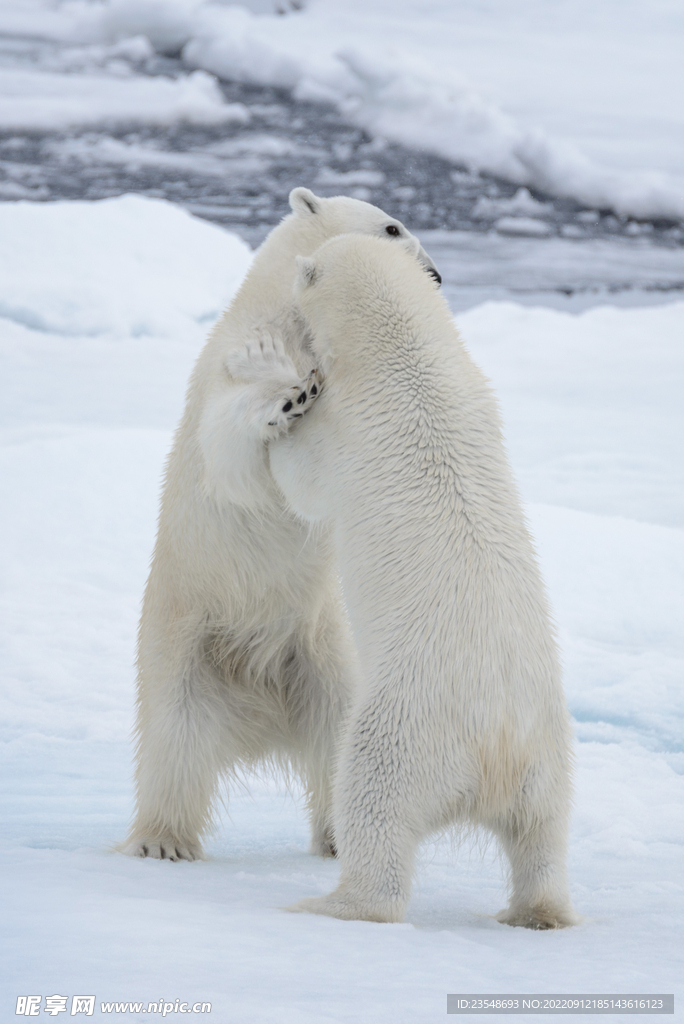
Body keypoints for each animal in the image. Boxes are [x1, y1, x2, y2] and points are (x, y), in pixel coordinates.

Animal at [120, 188, 441, 862]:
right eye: (392, 227)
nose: (435, 276)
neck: (292, 320)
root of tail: (258, 718)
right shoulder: (231, 361)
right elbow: (234, 450)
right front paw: (286, 396)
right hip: (184, 645)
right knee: (174, 743)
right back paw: (162, 841)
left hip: (323, 656)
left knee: (337, 736)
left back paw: (341, 835)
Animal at [265, 233, 578, 928]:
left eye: (304, 273)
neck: (411, 358)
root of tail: (495, 752)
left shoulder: (348, 429)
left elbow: (305, 483)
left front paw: (280, 422)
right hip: (550, 753)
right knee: (543, 834)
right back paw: (535, 910)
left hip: (404, 728)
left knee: (371, 801)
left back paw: (332, 901)